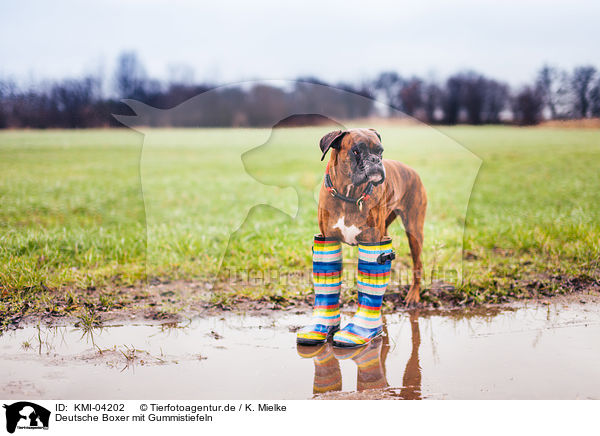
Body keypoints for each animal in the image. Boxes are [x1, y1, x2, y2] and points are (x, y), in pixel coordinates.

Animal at [318, 127, 426, 304]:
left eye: (380, 151)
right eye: (356, 151)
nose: (375, 160)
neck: (349, 195)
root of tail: (412, 171)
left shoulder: (372, 240)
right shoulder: (328, 238)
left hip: (414, 231)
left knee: (418, 264)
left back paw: (413, 295)